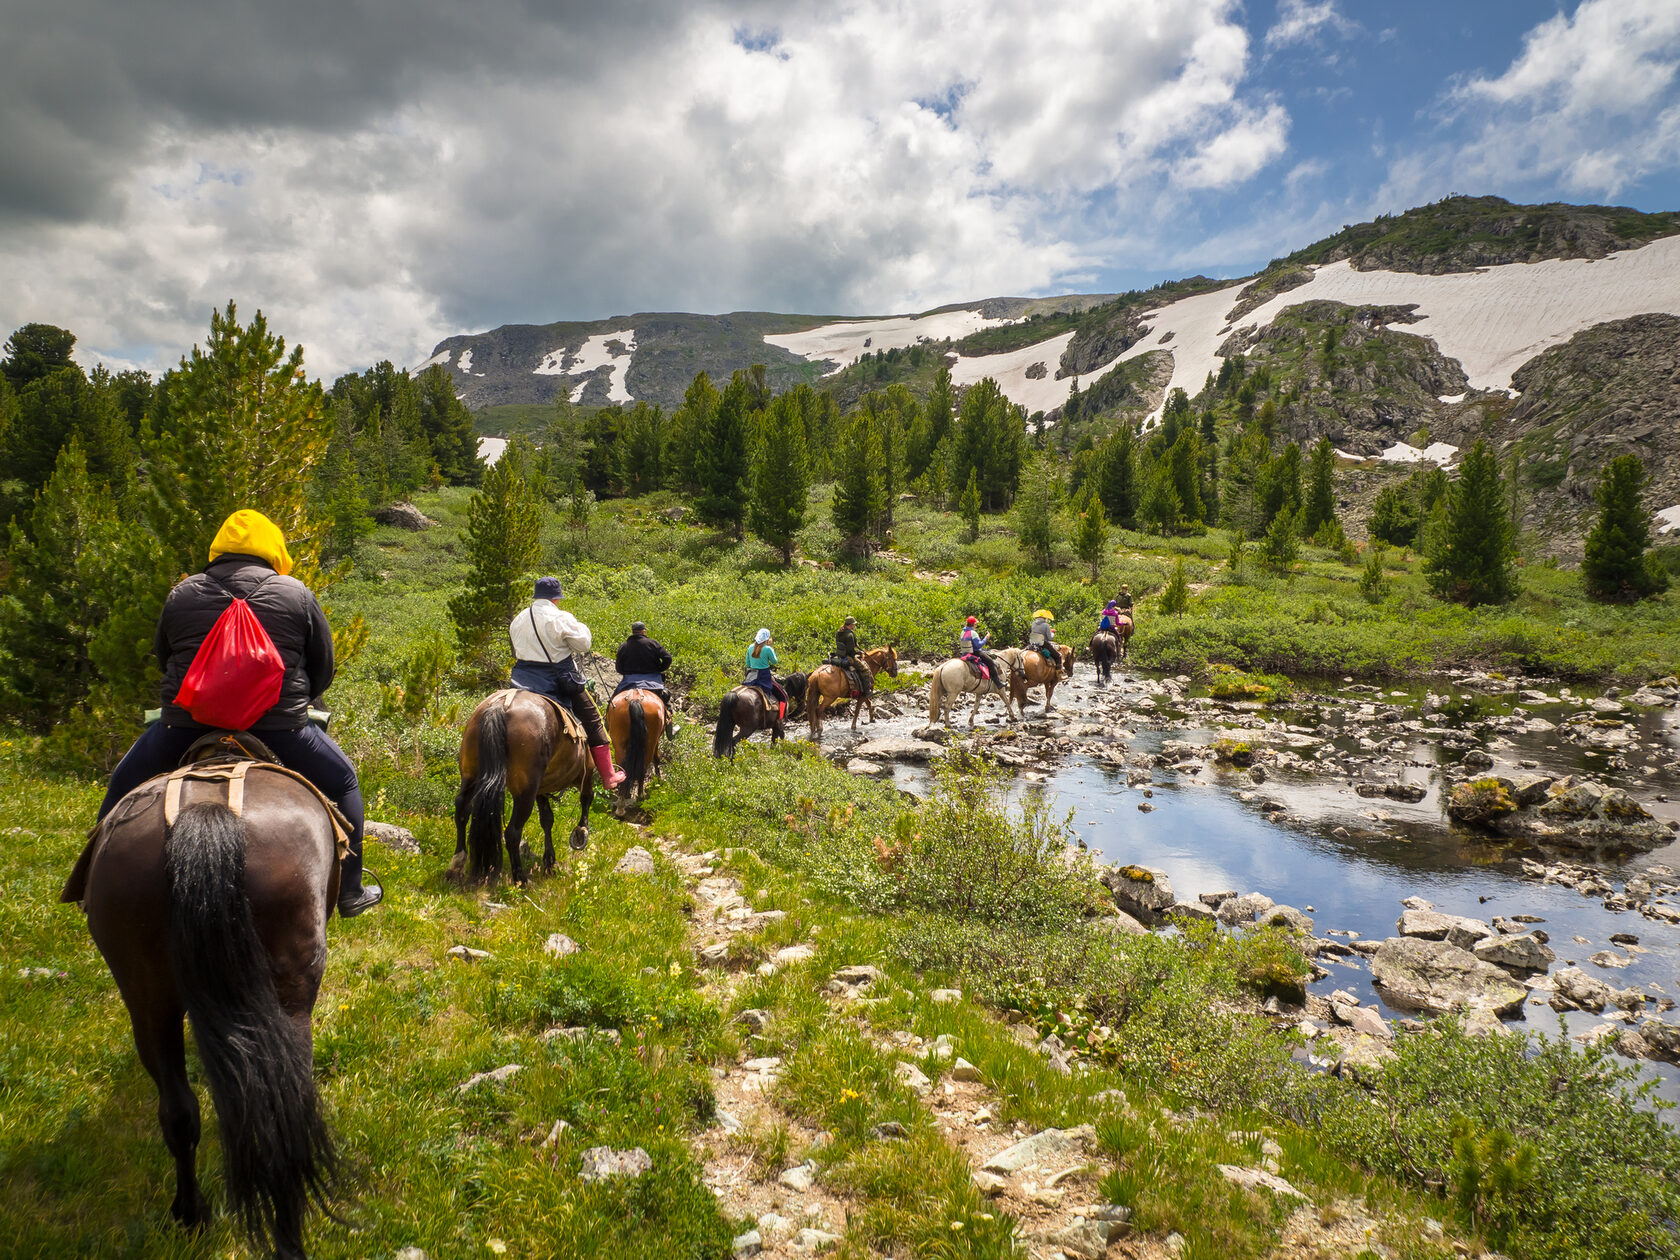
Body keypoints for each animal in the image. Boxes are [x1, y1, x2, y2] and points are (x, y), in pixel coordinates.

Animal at [67, 745, 349, 1256]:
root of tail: (204, 816)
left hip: (146, 994)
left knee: (180, 1112)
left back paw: (191, 1213)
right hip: (290, 994)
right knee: (285, 1106)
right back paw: (287, 1233)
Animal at [453, 692, 598, 887]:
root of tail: (502, 705)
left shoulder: (541, 788)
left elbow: (547, 819)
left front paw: (550, 863)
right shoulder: (587, 771)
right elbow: (586, 797)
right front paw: (581, 832)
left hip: (471, 774)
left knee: (462, 810)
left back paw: (455, 867)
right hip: (525, 792)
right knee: (512, 832)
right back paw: (520, 880)